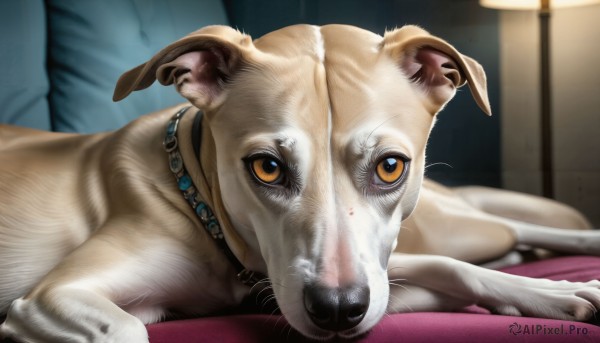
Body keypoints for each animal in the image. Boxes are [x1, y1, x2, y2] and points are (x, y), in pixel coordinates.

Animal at [1, 23, 600, 342]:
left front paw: (556, 292)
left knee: (505, 226)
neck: (198, 203)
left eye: (390, 166)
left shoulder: (370, 278)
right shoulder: (52, 297)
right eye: (266, 167)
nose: (337, 311)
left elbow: (450, 270)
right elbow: (128, 328)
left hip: (455, 225)